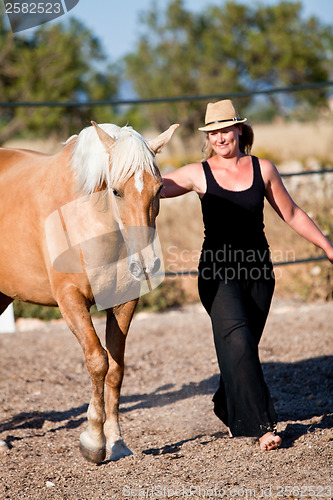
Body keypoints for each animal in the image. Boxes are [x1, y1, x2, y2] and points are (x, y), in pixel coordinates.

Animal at [0, 120, 179, 460]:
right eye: (116, 191)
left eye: (160, 188)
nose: (146, 264)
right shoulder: (70, 300)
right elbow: (98, 360)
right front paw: (93, 441)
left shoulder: (123, 304)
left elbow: (116, 368)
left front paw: (116, 441)